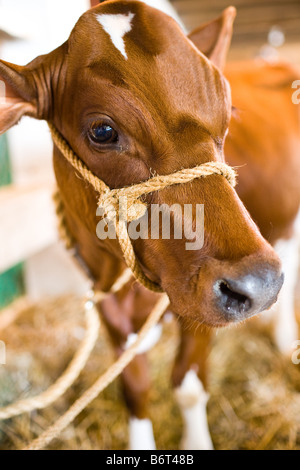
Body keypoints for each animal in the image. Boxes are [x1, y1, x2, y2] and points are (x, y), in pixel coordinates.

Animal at [0, 0, 298, 450]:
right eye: (102, 131)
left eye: (227, 112)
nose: (258, 283)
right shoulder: (105, 300)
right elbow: (134, 390)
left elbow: (188, 386)